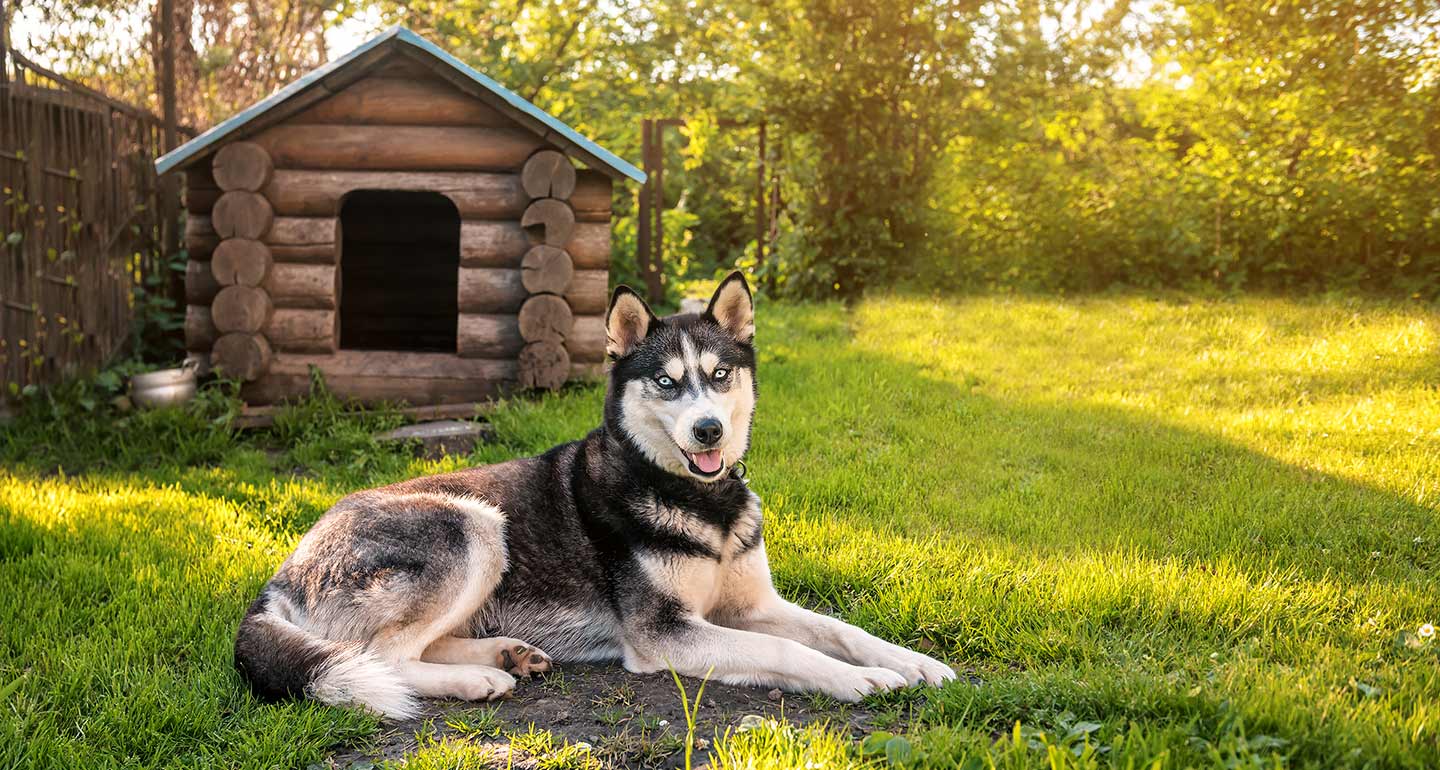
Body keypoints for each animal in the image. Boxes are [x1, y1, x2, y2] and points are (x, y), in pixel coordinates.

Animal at [236, 270, 956, 716]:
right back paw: (476, 676)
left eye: (720, 375)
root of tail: (285, 567)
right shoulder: (666, 634)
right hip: (473, 524)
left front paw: (912, 663)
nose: (709, 429)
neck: (700, 502)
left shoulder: (752, 605)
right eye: (666, 382)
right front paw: (862, 680)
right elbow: (789, 650)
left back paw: (509, 653)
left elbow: (839, 628)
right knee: (378, 656)